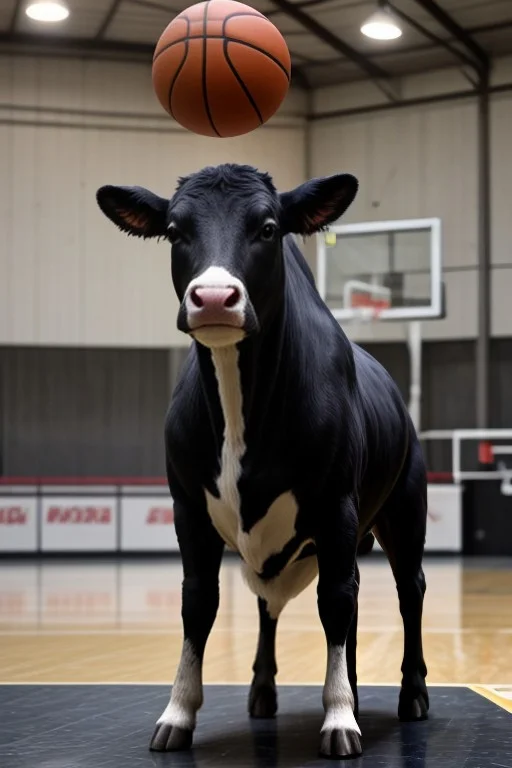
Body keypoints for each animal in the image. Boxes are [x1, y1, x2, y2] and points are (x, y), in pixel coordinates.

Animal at [96, 164, 429, 759]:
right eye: (175, 230)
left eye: (269, 227)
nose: (213, 297)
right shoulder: (188, 510)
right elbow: (198, 603)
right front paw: (177, 713)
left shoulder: (336, 507)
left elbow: (334, 602)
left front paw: (339, 717)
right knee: (276, 606)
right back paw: (269, 692)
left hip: (404, 512)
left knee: (407, 591)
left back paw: (410, 693)